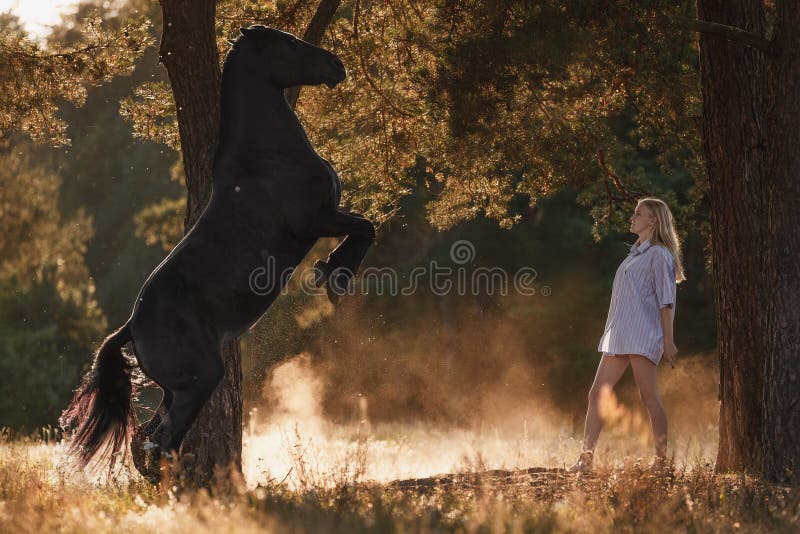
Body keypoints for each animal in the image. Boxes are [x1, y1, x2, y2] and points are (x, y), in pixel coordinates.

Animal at [60, 25, 378, 480]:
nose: (337, 65)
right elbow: (364, 228)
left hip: (176, 391)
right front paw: (333, 276)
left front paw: (329, 272)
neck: (268, 156)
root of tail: (131, 327)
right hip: (200, 381)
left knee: (146, 444)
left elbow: (364, 228)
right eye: (289, 42)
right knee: (161, 443)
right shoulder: (314, 221)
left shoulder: (325, 217)